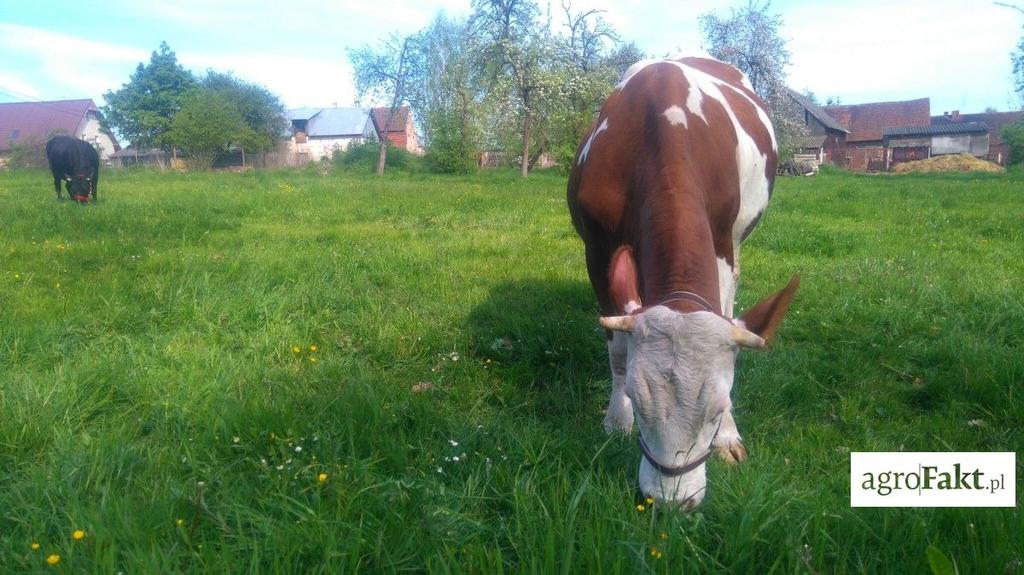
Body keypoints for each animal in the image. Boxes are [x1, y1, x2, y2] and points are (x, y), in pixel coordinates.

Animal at [569, 56, 798, 507]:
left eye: (718, 407)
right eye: (638, 401)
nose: (673, 501)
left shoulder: (722, 240)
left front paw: (728, 436)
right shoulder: (598, 249)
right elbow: (618, 349)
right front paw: (615, 421)